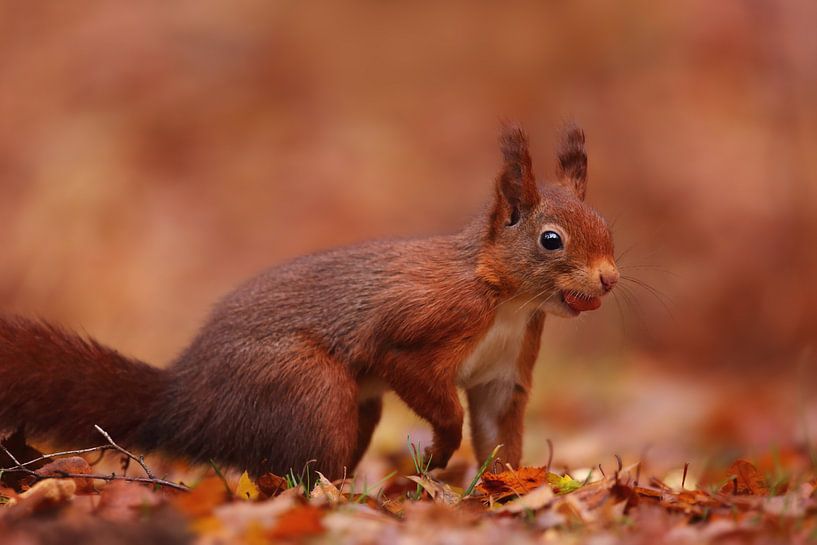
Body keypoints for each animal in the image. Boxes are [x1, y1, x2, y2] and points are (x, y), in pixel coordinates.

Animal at [0, 124, 618, 480]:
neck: (505, 298)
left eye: (607, 226)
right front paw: (440, 450)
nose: (610, 279)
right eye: (551, 240)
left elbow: (497, 433)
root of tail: (185, 399)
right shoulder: (423, 325)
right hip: (305, 388)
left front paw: (503, 487)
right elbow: (429, 388)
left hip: (354, 408)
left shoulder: (504, 369)